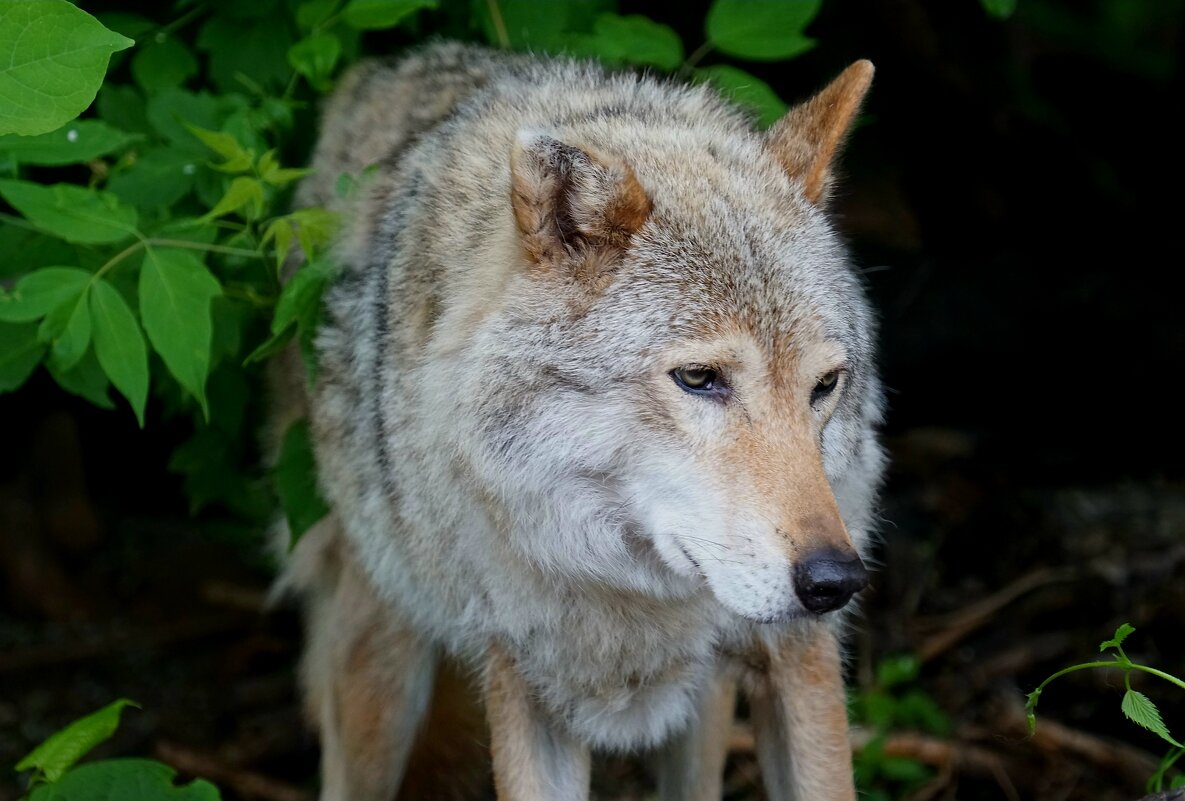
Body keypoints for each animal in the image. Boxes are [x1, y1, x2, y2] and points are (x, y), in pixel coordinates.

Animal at [272, 41, 885, 801]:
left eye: (824, 386)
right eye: (698, 379)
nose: (834, 580)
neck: (633, 596)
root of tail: (380, 71)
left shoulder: (798, 658)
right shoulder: (523, 679)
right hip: (378, 681)